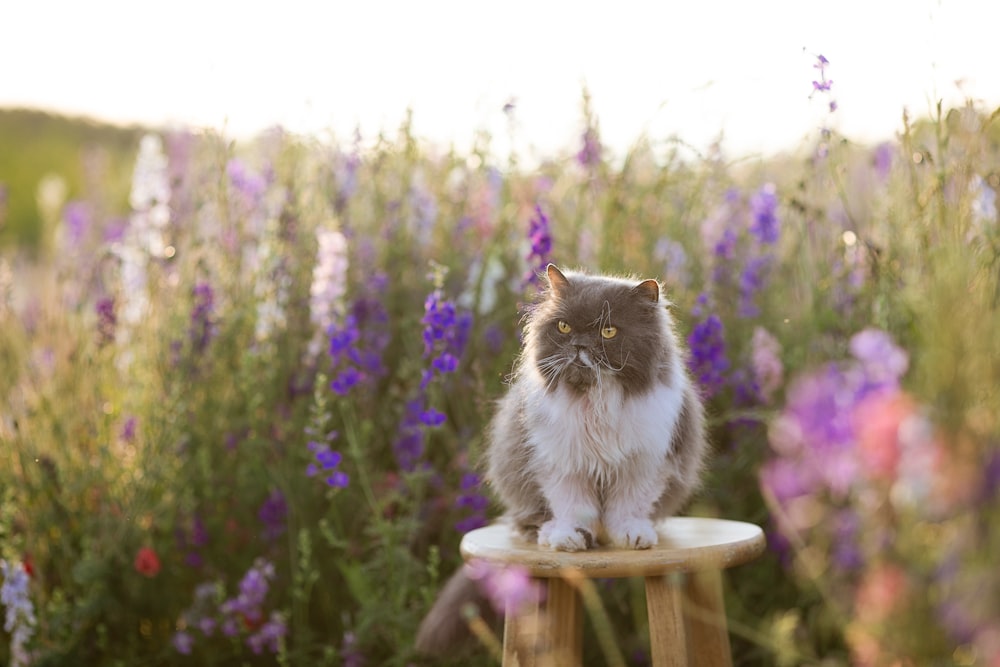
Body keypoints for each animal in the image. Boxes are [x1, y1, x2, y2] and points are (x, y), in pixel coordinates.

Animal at [414, 264, 712, 656]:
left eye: (608, 330)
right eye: (565, 327)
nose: (580, 345)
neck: (594, 400)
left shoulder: (644, 464)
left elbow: (627, 506)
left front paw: (630, 536)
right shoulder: (560, 465)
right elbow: (573, 507)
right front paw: (572, 539)